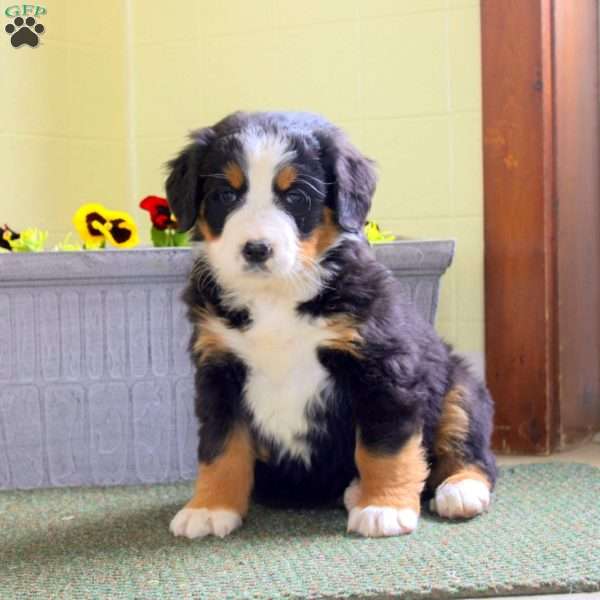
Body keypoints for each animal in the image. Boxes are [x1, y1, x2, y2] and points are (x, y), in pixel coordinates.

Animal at [165, 111, 496, 540]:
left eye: (296, 197)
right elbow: (221, 447)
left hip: (461, 386)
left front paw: (384, 507)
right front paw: (209, 507)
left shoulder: (384, 367)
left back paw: (459, 489)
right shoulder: (219, 371)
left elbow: (385, 446)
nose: (256, 249)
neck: (275, 297)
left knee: (471, 448)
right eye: (226, 195)